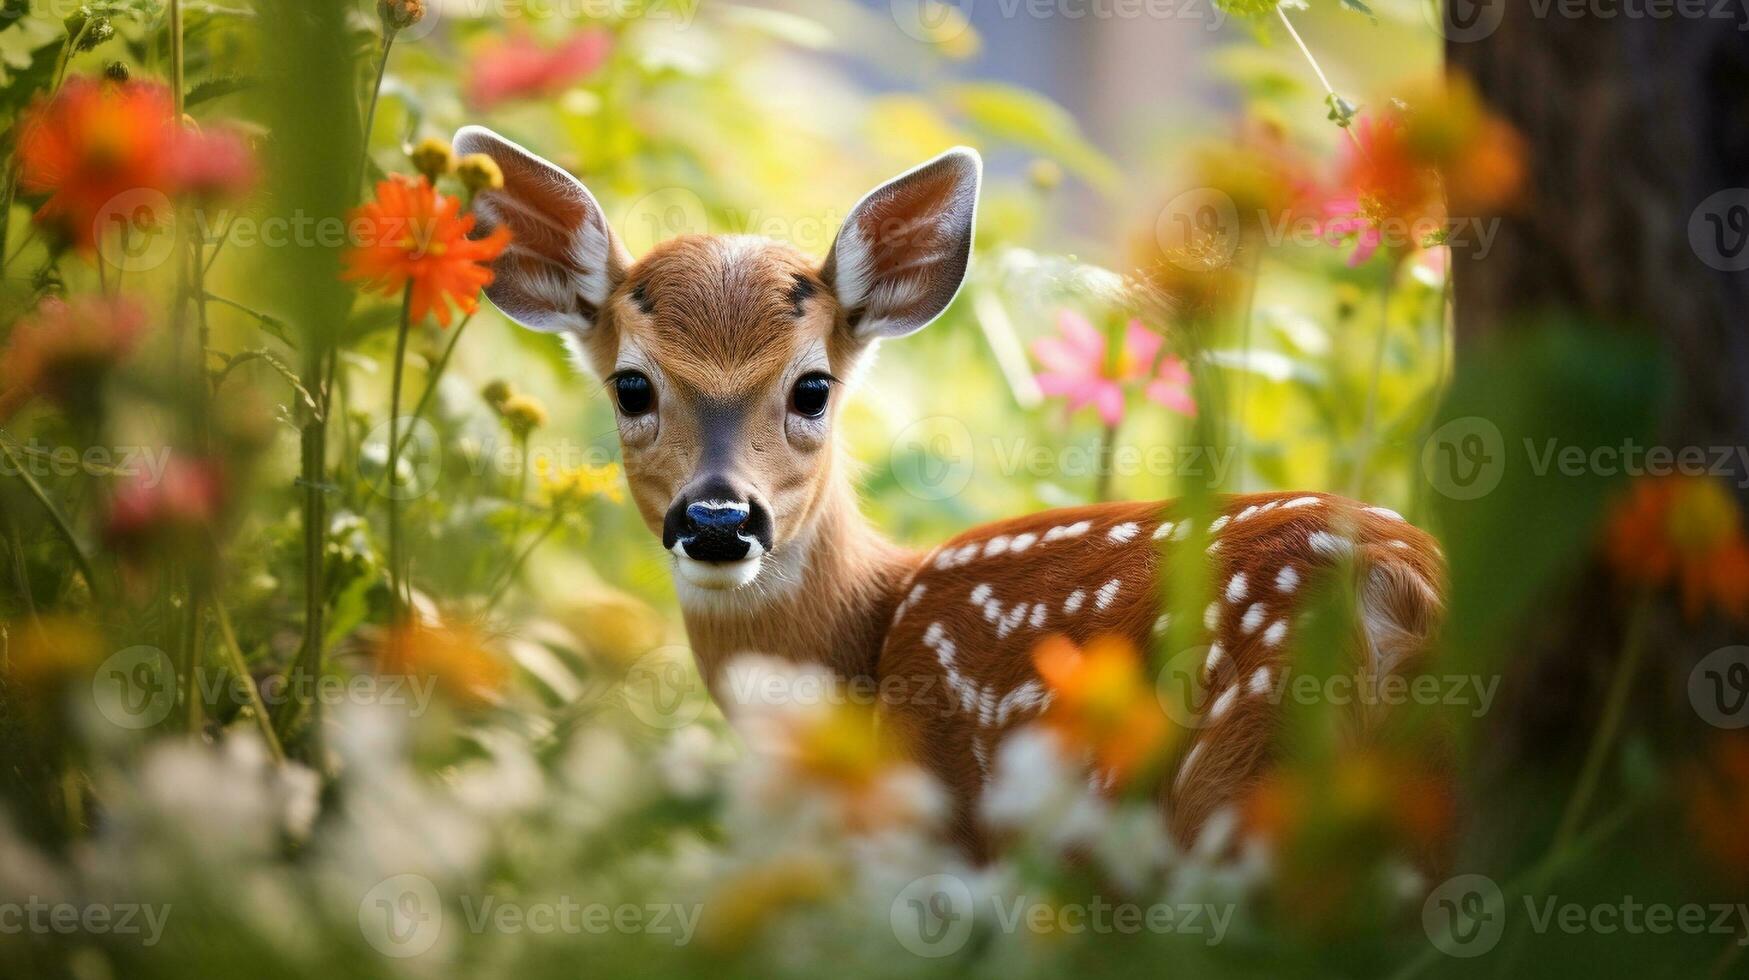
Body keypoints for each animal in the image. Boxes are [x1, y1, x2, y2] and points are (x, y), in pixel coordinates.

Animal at [451, 126, 1448, 861]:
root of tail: (1398, 593)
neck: (869, 641)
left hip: (1242, 784)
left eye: (812, 387)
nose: (719, 519)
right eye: (631, 386)